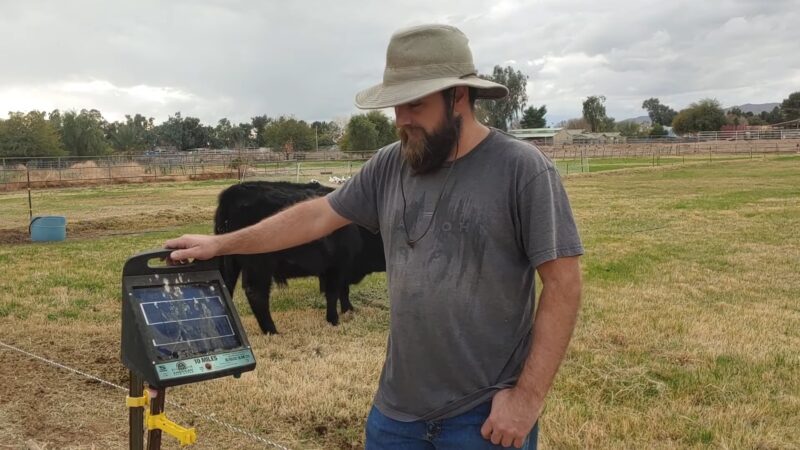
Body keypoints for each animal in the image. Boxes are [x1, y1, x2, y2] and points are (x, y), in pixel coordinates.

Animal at [214, 180, 386, 334]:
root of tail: (233, 193)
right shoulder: (336, 266)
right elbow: (333, 293)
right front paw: (334, 320)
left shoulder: (342, 268)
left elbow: (343, 291)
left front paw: (348, 310)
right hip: (259, 266)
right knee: (257, 294)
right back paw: (272, 331)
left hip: (229, 263)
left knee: (227, 287)